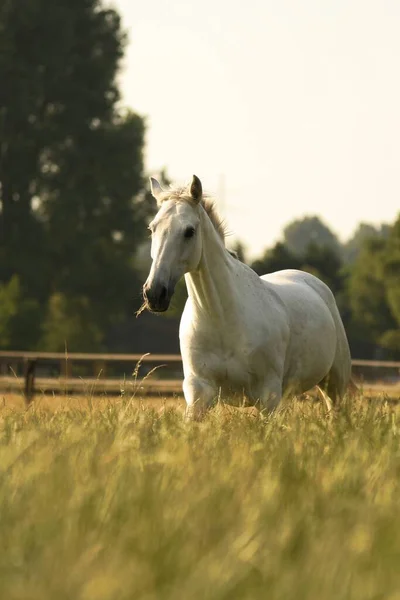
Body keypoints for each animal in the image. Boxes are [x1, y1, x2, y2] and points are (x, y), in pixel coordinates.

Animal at [142, 173, 352, 418]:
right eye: (152, 229)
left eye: (189, 231)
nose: (154, 293)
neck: (223, 320)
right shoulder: (198, 392)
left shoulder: (268, 397)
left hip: (334, 385)